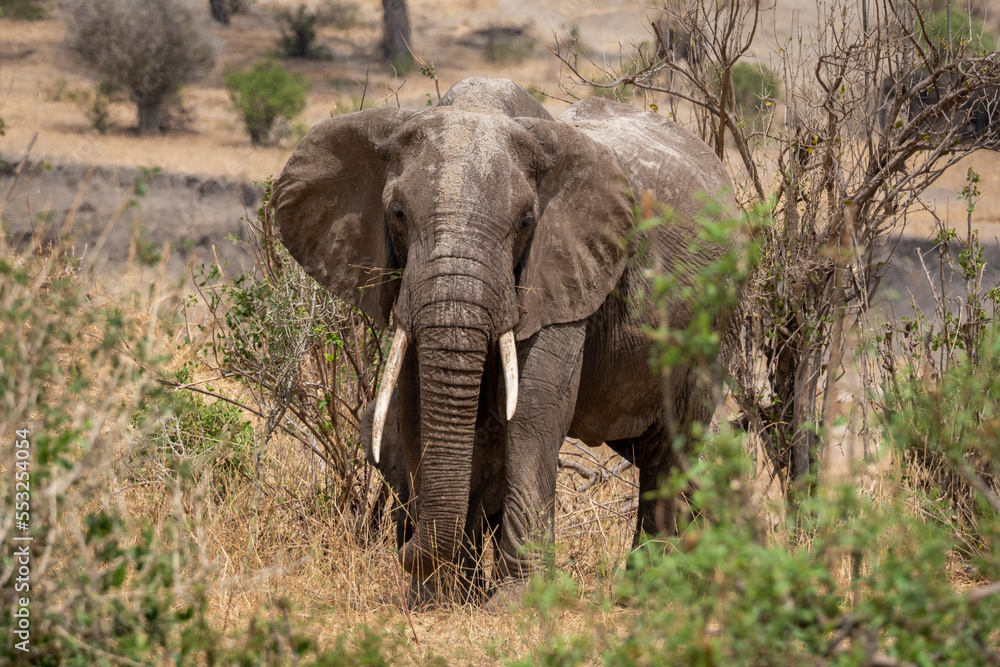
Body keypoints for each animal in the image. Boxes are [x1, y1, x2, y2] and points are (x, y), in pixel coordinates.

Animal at [274, 77, 740, 604]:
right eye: (396, 213)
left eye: (525, 221)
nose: (401, 540)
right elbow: (413, 405)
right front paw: (432, 599)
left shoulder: (564, 271)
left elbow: (533, 406)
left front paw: (516, 602)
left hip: (713, 322)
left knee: (673, 446)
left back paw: (648, 595)